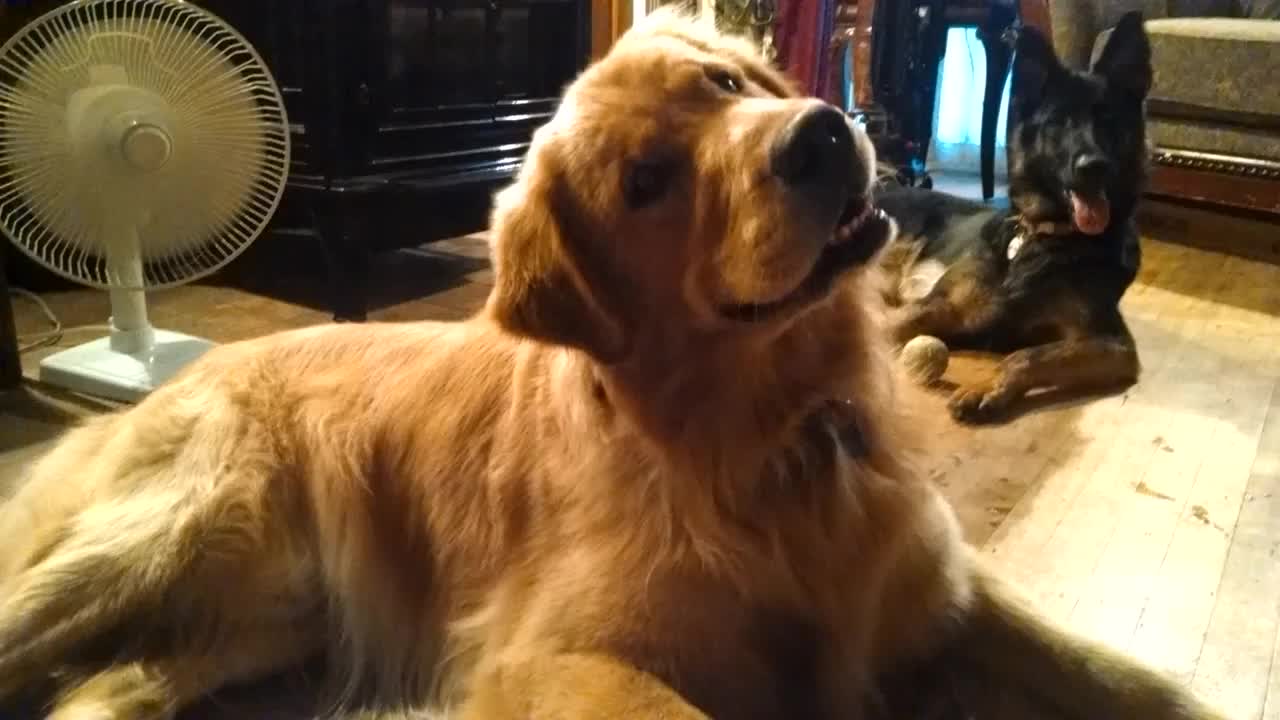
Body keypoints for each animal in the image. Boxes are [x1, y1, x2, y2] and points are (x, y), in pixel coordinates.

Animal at [880, 14, 1152, 422]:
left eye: (1109, 120)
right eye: (1058, 122)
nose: (1095, 167)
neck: (1046, 238)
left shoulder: (1112, 345)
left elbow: (1028, 356)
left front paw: (987, 387)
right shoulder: (937, 305)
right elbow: (891, 326)